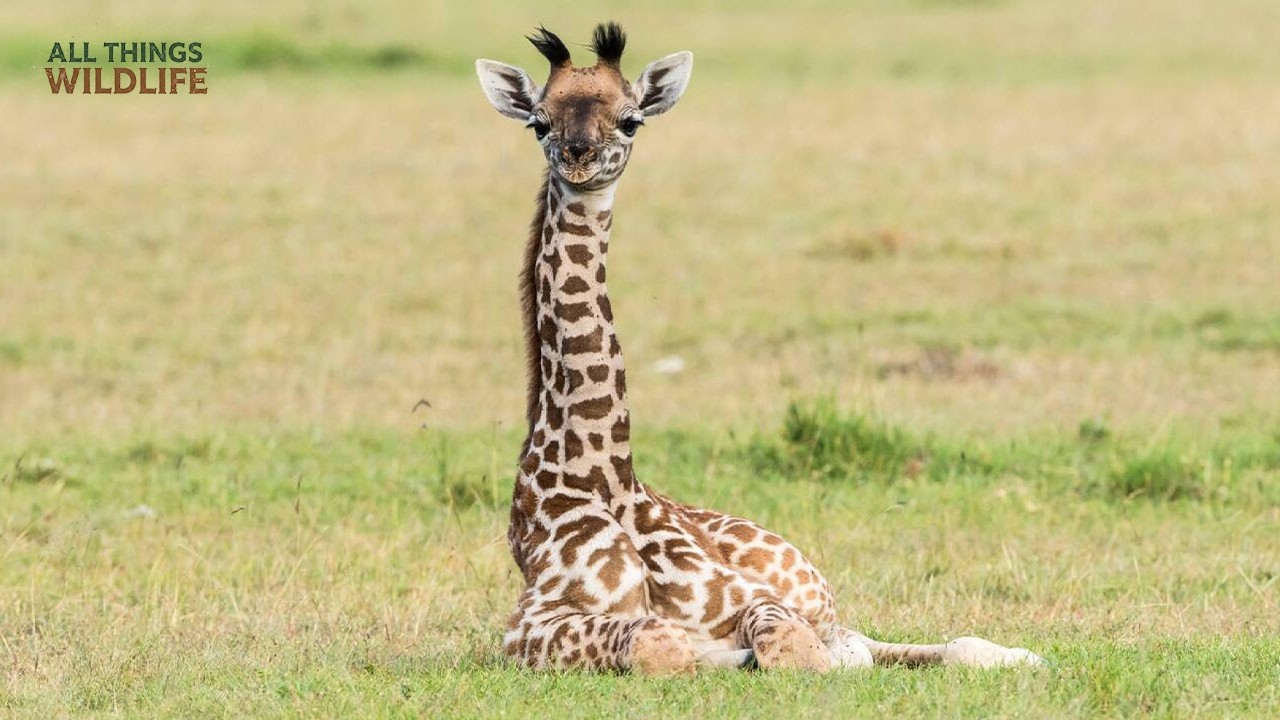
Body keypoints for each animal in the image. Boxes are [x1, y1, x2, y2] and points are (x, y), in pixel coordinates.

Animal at [474, 22, 1045, 674]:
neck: (601, 474)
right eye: (538, 122)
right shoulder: (527, 628)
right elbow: (660, 642)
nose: (579, 157)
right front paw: (717, 656)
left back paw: (1020, 655)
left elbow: (791, 647)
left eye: (631, 119)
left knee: (871, 639)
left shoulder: (757, 598)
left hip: (810, 585)